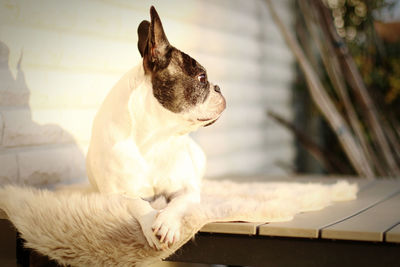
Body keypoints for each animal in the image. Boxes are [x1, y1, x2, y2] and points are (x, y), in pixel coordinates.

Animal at [85, 7, 225, 252]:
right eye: (202, 78)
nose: (218, 87)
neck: (154, 139)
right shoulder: (115, 195)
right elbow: (136, 204)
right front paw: (151, 220)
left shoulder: (186, 190)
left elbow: (179, 203)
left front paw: (167, 222)